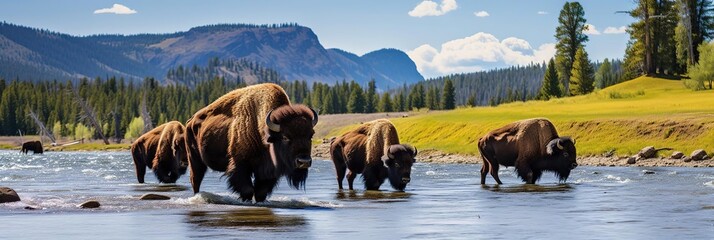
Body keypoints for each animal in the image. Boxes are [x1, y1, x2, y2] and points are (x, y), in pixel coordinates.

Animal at [184, 83, 318, 202]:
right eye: (285, 137)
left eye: (311, 135)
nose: (304, 162)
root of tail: (190, 121)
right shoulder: (240, 164)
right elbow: (247, 189)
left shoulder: (268, 172)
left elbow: (260, 192)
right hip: (194, 159)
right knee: (195, 179)